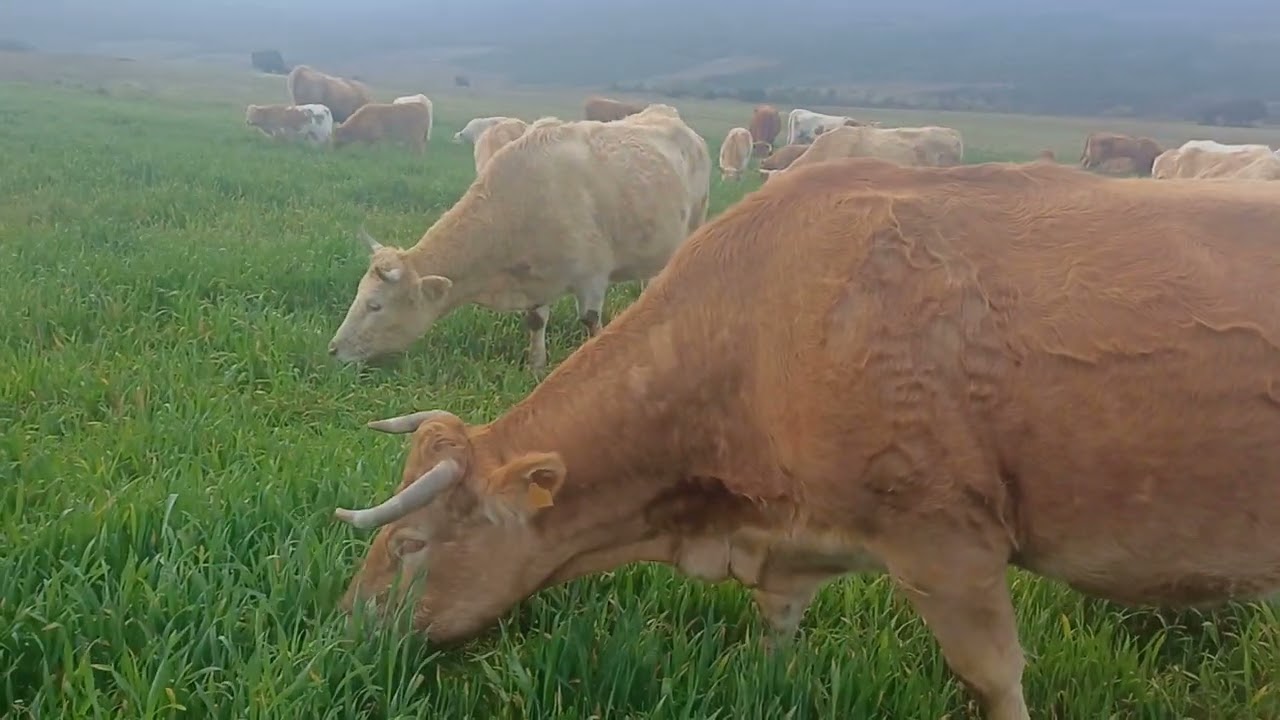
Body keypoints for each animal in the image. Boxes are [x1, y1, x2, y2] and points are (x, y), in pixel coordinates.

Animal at [327, 104, 712, 371]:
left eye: (375, 305)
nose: (333, 349)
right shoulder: (535, 279)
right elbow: (535, 321)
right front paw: (536, 365)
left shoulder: (591, 277)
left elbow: (590, 322)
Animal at [330, 156, 1280, 720]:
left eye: (411, 545)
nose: (343, 628)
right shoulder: (792, 545)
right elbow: (775, 637)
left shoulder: (947, 545)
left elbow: (994, 677)